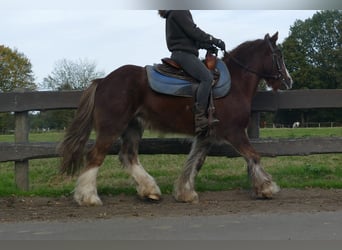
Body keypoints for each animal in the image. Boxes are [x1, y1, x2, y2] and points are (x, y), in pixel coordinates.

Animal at [58, 32, 292, 206]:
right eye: (278, 55)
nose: (288, 81)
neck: (235, 83)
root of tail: (103, 81)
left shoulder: (206, 136)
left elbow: (194, 162)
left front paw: (185, 192)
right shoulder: (234, 132)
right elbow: (253, 155)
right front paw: (267, 187)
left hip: (133, 127)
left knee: (128, 156)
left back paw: (149, 190)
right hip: (112, 127)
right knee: (95, 156)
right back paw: (88, 197)